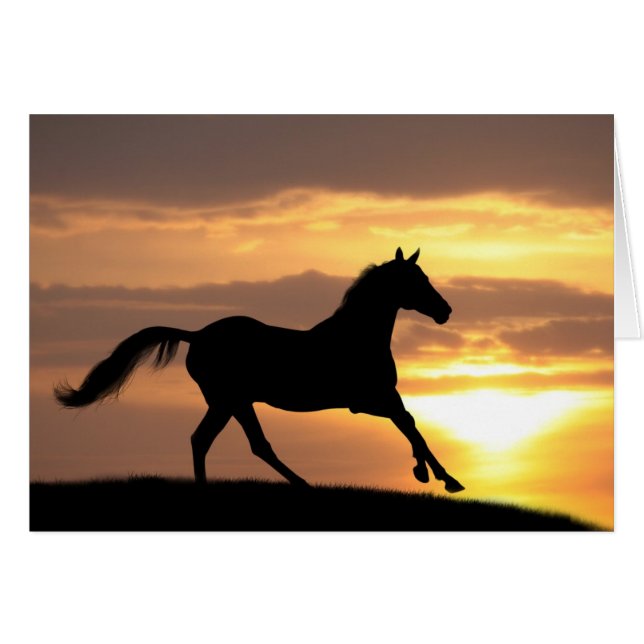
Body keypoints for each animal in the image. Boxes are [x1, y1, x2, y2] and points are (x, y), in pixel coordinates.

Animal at [54, 248, 465, 493]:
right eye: (417, 280)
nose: (445, 311)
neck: (358, 338)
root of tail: (197, 335)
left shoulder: (376, 399)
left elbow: (410, 424)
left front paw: (427, 473)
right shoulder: (366, 400)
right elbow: (410, 425)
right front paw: (444, 478)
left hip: (227, 402)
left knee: (208, 440)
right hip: (231, 400)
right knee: (249, 444)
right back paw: (302, 485)